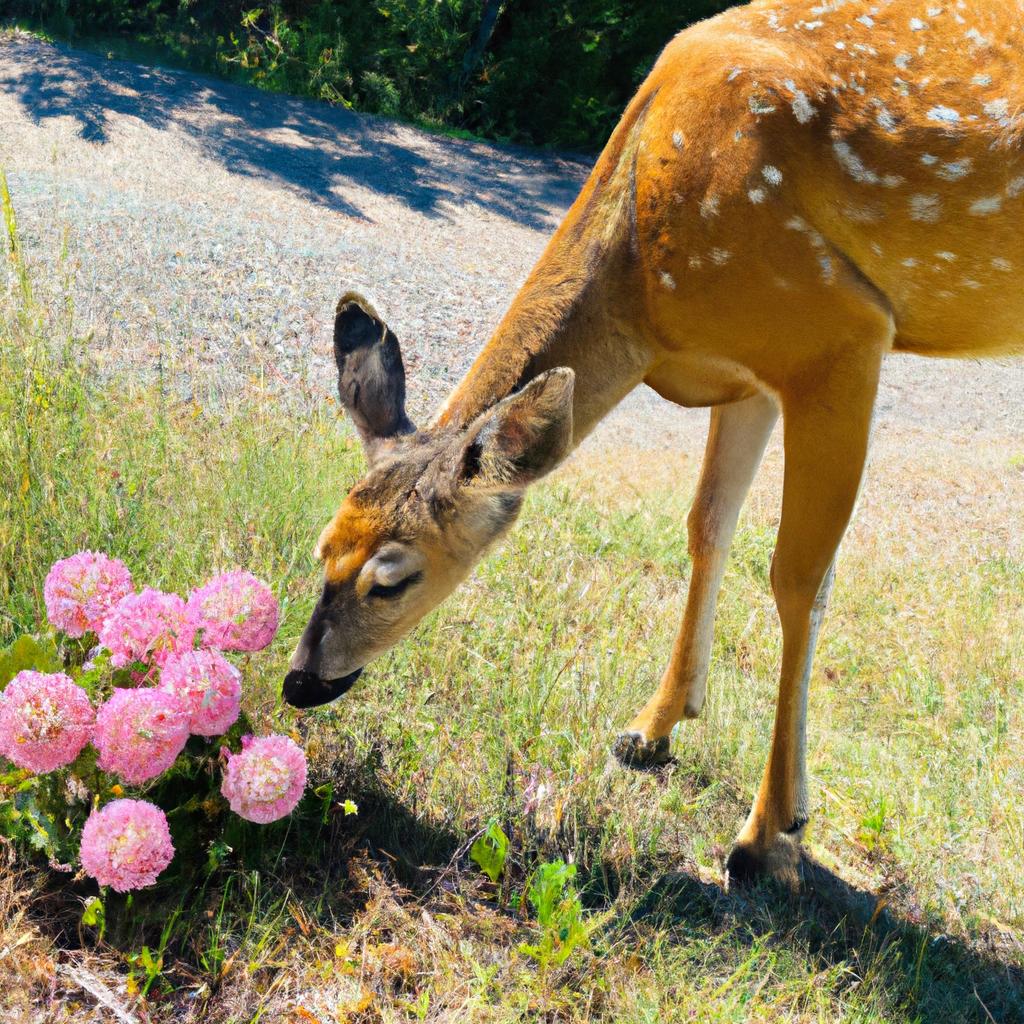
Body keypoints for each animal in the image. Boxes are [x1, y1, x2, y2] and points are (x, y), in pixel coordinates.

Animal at [282, 0, 1024, 880]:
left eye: (392, 581)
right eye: (324, 546)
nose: (299, 682)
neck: (644, 297)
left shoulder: (838, 332)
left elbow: (799, 578)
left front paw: (773, 827)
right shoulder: (748, 374)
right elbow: (707, 528)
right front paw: (652, 728)